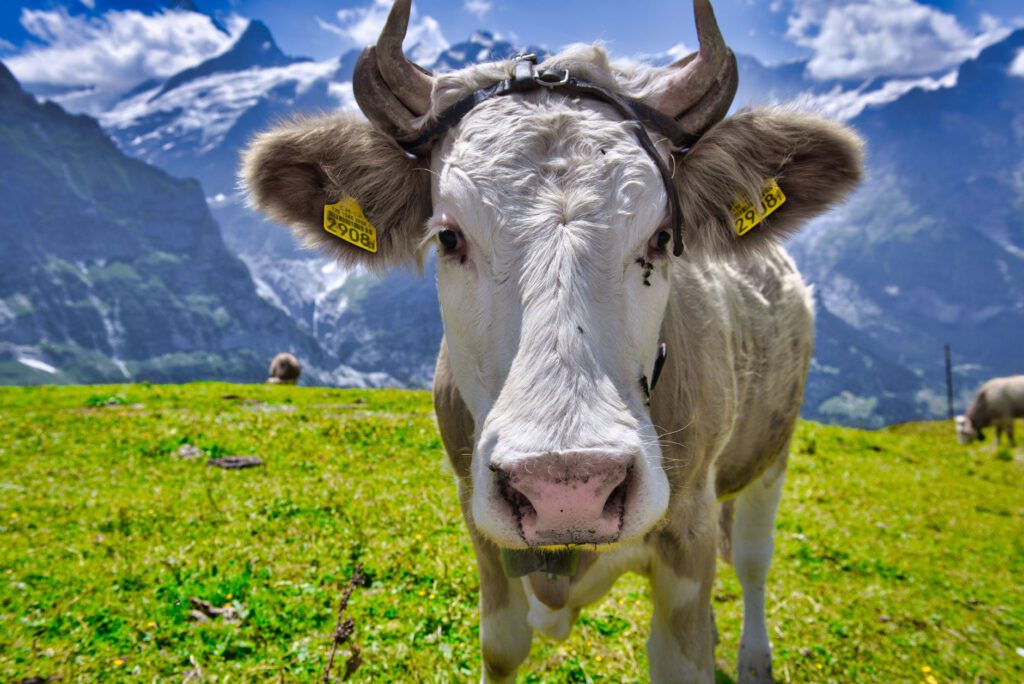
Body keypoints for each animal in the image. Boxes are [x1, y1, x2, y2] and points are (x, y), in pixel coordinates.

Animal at [241, 1, 863, 681]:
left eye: (662, 237)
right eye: (449, 236)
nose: (568, 489)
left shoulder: (689, 532)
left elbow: (684, 649)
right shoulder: (479, 520)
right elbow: (502, 645)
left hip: (773, 451)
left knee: (752, 559)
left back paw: (753, 656)